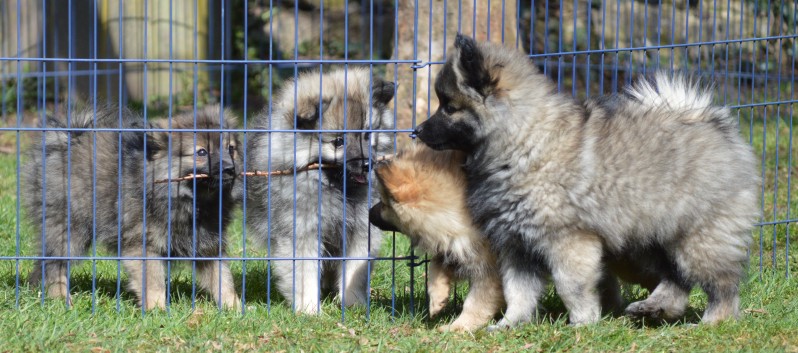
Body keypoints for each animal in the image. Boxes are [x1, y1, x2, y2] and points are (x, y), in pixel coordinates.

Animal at [25, 106, 244, 310]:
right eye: (202, 152)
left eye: (231, 149)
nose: (230, 169)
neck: (191, 200)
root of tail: (67, 140)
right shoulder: (144, 245)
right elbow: (154, 283)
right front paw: (156, 309)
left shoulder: (208, 244)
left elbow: (223, 279)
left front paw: (234, 308)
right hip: (70, 229)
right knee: (54, 265)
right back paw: (61, 300)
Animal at [244, 67, 394, 312]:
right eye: (338, 141)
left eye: (367, 134)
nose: (366, 164)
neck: (336, 187)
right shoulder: (303, 233)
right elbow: (305, 274)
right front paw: (309, 310)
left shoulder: (361, 231)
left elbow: (354, 271)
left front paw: (353, 306)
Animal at [418, 34, 764, 326]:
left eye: (449, 107)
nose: (417, 131)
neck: (523, 140)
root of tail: (713, 124)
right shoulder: (517, 245)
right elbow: (518, 292)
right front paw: (510, 325)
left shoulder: (567, 240)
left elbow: (570, 286)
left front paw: (583, 324)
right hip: (648, 237)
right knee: (676, 278)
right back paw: (655, 308)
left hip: (698, 237)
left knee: (721, 285)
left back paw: (713, 323)